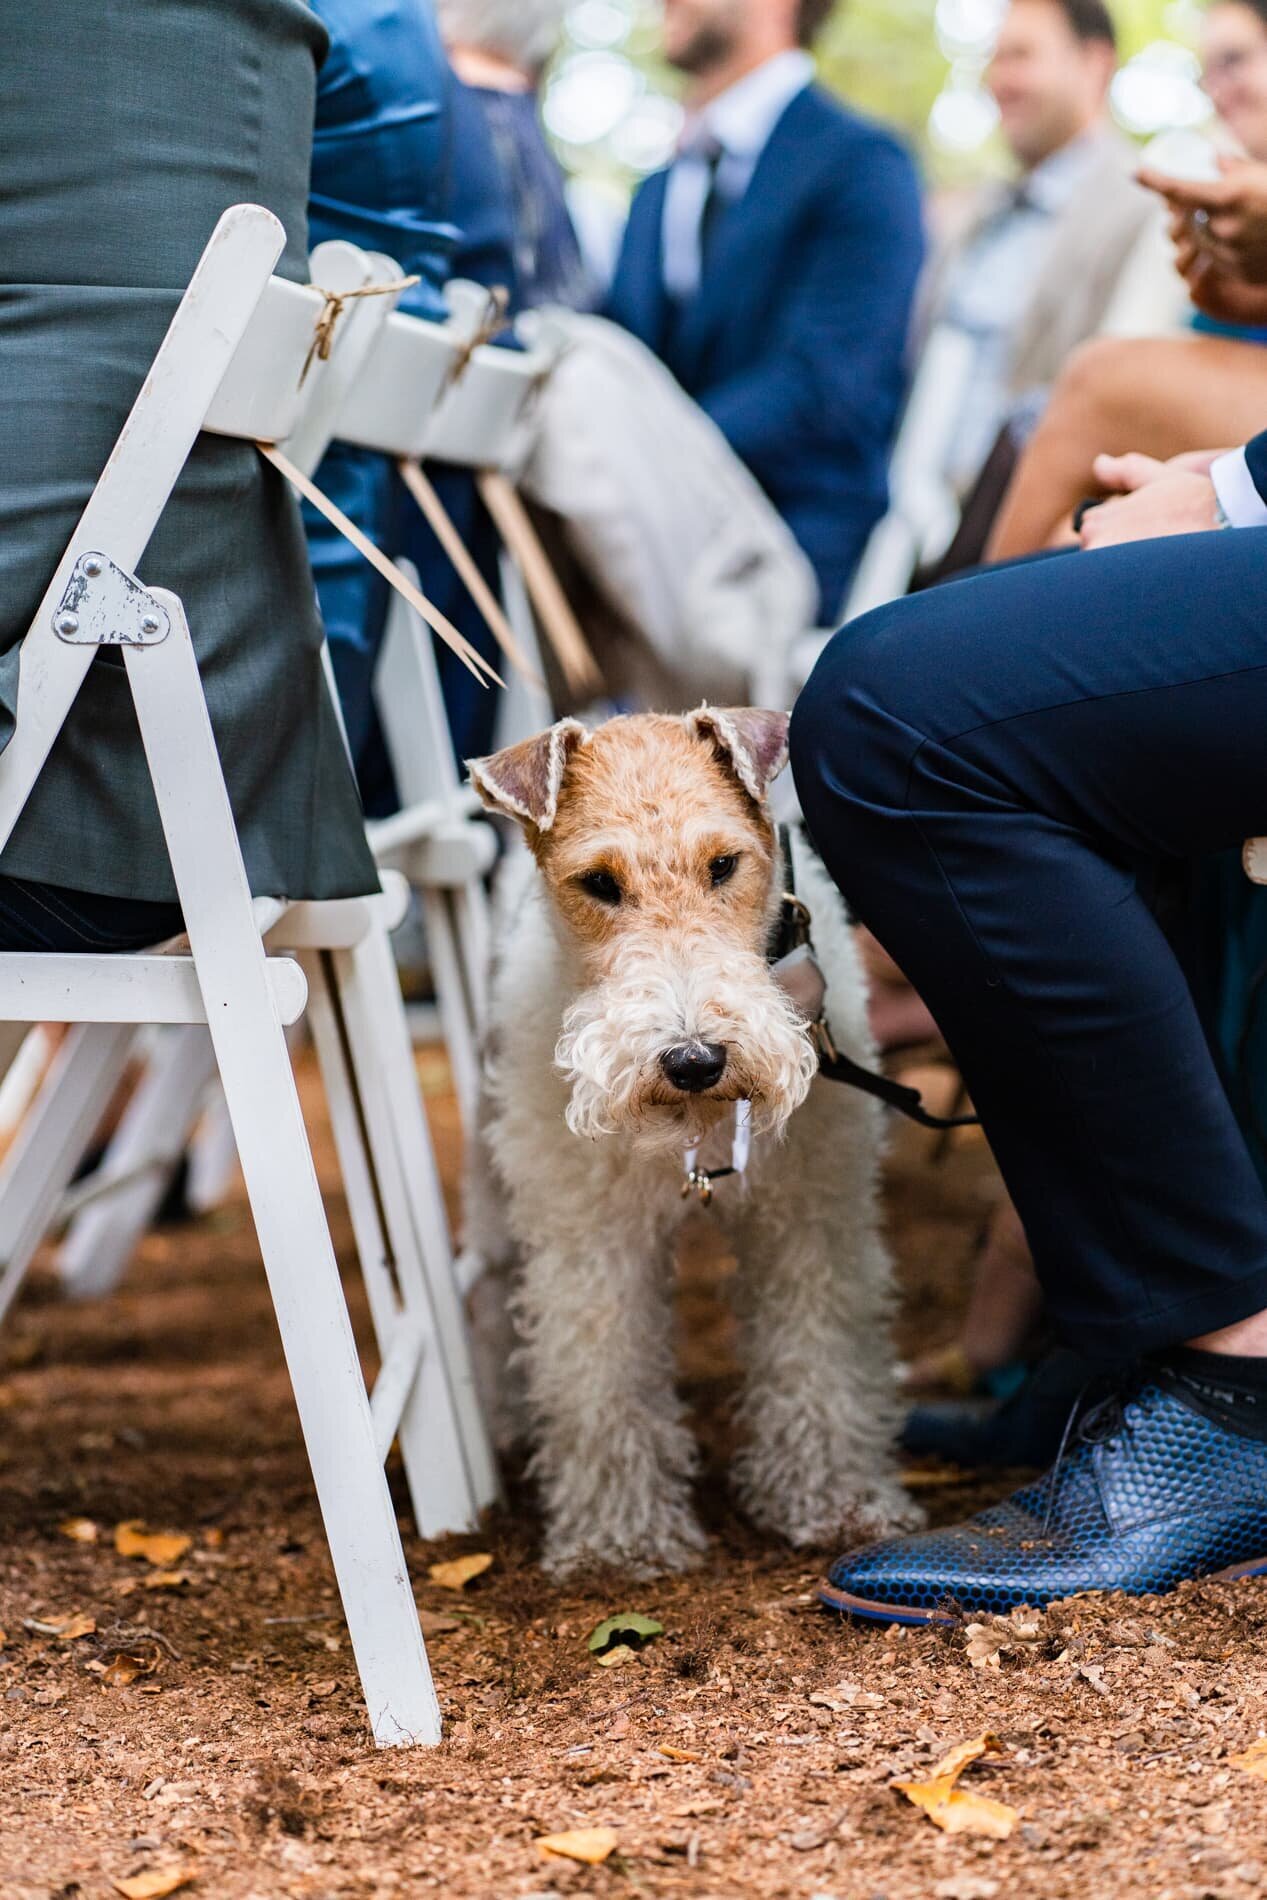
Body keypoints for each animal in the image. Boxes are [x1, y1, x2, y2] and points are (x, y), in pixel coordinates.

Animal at [461, 706, 915, 1580]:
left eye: (723, 864)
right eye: (599, 884)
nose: (694, 1060)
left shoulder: (809, 1216)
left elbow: (819, 1357)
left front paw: (836, 1502)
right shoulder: (590, 1233)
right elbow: (600, 1373)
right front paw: (618, 1539)